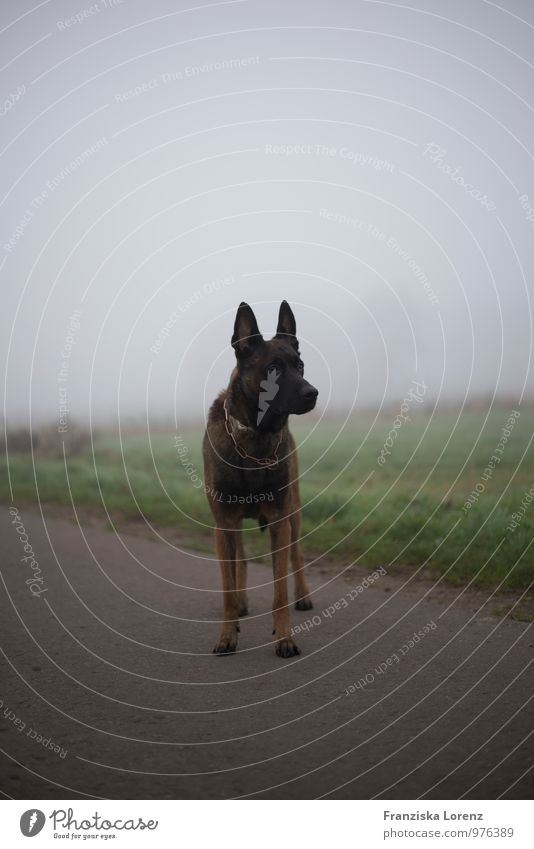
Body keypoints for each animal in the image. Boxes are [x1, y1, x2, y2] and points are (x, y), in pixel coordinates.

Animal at [202, 302, 318, 660]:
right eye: (273, 368)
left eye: (300, 365)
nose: (313, 393)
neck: (254, 437)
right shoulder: (223, 523)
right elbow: (228, 586)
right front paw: (227, 635)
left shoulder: (280, 520)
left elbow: (279, 591)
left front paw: (285, 638)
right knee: (240, 560)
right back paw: (241, 602)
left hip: (294, 513)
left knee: (297, 555)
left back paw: (303, 595)